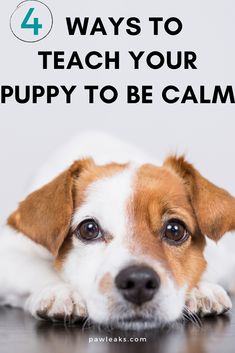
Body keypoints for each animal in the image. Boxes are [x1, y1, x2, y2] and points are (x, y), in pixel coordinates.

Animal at [0, 130, 235, 330]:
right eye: (89, 229)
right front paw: (59, 291)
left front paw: (202, 289)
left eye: (175, 230)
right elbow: (38, 269)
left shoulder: (223, 256)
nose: (139, 282)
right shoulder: (10, 253)